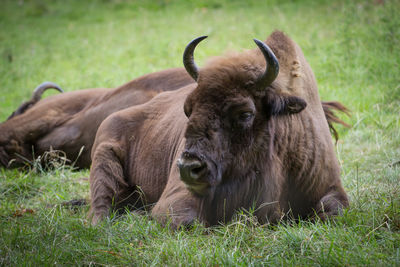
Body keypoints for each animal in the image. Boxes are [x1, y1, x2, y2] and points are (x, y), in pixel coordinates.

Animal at [88, 31, 350, 228]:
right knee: (101, 208)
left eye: (245, 113)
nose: (189, 168)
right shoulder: (176, 201)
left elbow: (334, 211)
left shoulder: (329, 187)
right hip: (104, 160)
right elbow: (191, 222)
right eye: (188, 108)